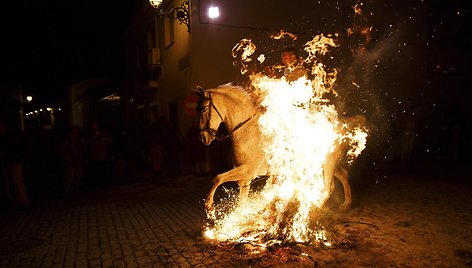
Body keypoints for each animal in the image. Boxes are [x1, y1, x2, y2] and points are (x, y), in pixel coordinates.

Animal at [195, 84, 362, 214]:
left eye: (203, 109)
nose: (202, 137)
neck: (245, 129)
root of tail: (342, 126)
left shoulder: (247, 171)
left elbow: (218, 177)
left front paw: (209, 204)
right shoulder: (245, 178)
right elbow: (240, 200)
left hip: (328, 163)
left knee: (328, 187)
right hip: (324, 164)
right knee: (343, 175)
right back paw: (346, 205)